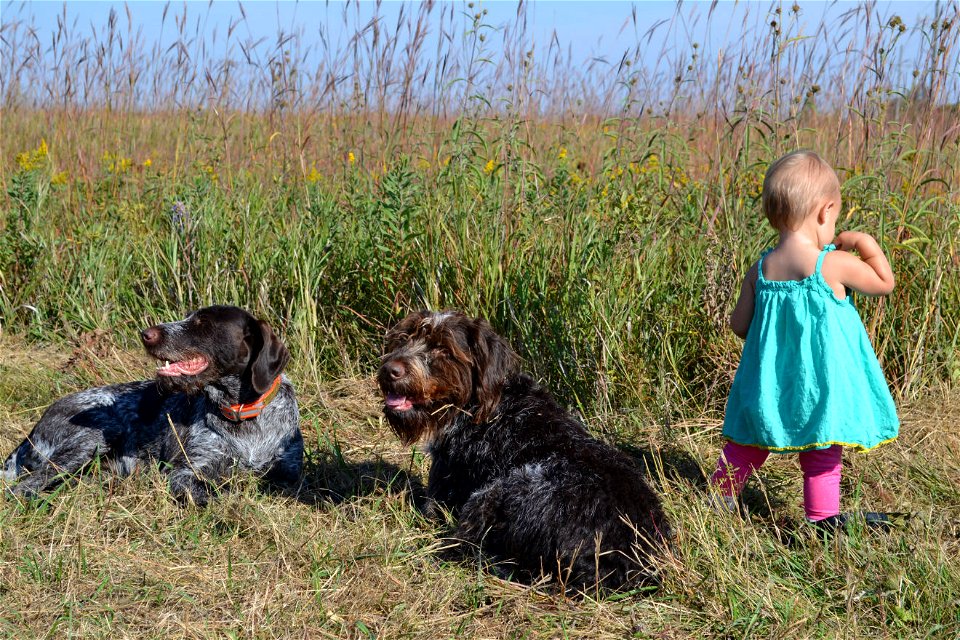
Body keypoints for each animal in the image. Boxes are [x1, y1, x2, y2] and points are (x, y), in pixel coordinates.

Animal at [1, 304, 302, 504]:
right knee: (23, 488)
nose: (146, 333)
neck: (243, 415)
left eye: (203, 323)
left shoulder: (290, 475)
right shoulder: (186, 474)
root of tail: (30, 433)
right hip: (94, 434)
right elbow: (218, 493)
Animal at [378, 310, 672, 592]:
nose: (390, 370)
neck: (480, 404)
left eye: (442, 348)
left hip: (496, 492)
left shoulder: (443, 490)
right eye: (404, 338)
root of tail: (619, 562)